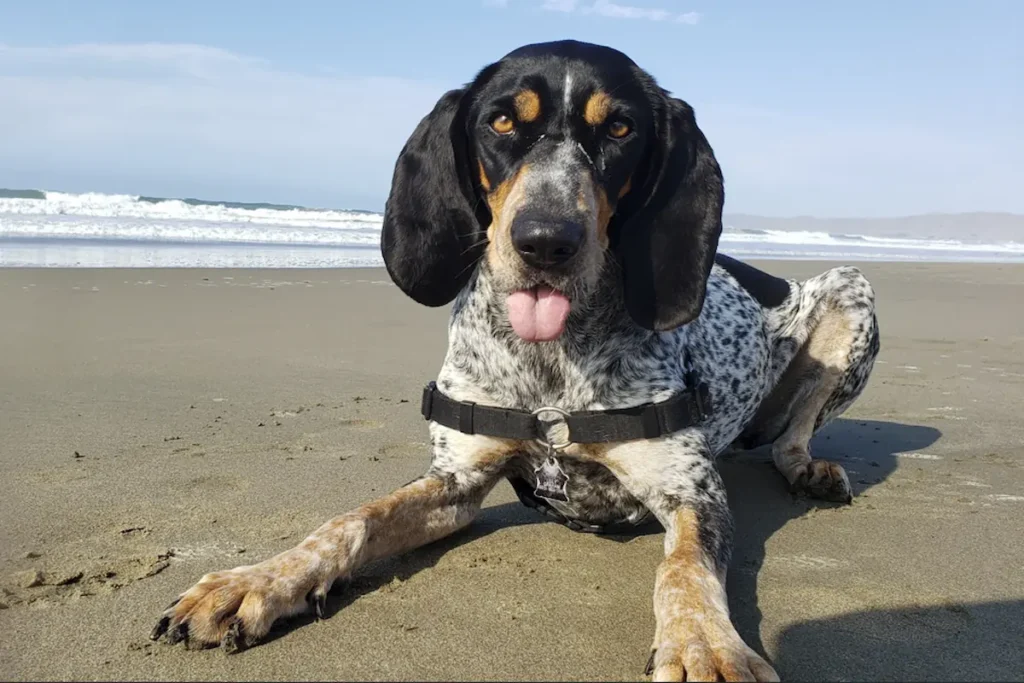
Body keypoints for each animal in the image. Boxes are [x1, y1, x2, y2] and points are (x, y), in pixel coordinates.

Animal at [151, 40, 880, 679]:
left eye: (619, 128)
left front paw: (704, 645)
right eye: (501, 121)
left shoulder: (690, 490)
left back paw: (808, 467)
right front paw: (259, 579)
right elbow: (351, 519)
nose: (546, 241)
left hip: (854, 292)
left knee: (794, 432)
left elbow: (683, 569)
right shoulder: (458, 481)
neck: (550, 374)